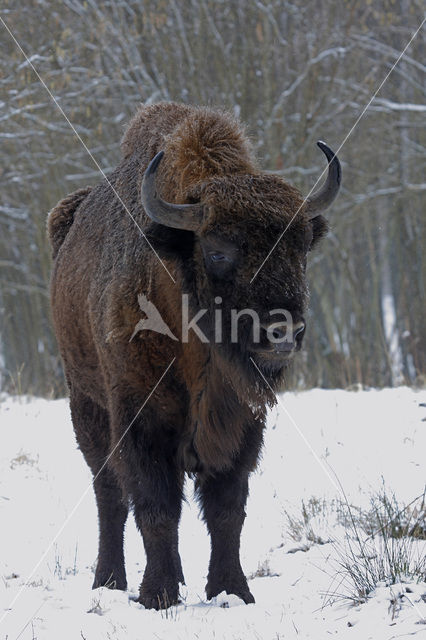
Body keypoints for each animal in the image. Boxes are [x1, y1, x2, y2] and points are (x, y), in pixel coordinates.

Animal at [47, 101, 340, 608]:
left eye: (300, 246)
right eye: (218, 251)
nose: (284, 330)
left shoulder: (241, 422)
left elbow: (226, 509)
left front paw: (232, 590)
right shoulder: (139, 418)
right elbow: (155, 505)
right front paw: (158, 595)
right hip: (85, 403)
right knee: (109, 493)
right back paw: (109, 580)